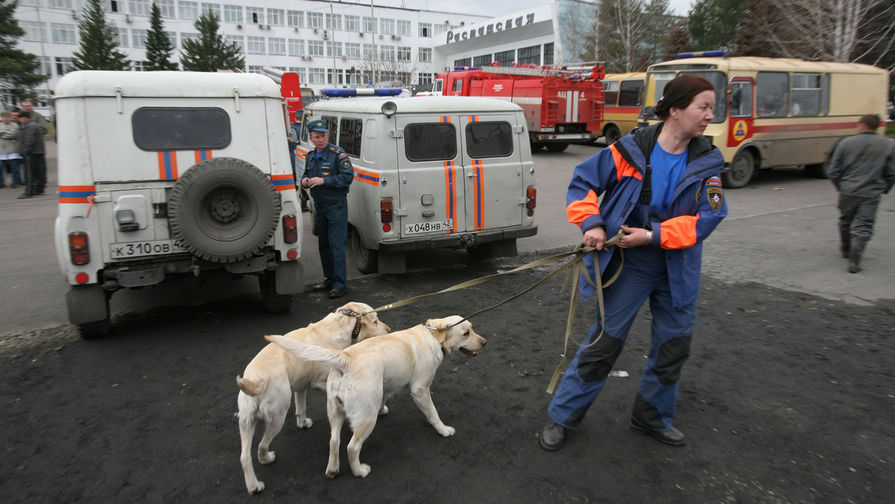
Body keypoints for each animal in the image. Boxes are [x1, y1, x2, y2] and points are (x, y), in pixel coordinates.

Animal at [236, 302, 390, 494]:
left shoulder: (300, 386)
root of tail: (257, 379)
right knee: (262, 445)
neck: (340, 326)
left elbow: (301, 408)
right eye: (375, 321)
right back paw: (266, 460)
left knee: (244, 457)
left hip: (246, 422)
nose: (389, 329)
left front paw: (303, 423)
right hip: (277, 417)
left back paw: (254, 485)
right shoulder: (320, 381)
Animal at [266, 316, 486, 480]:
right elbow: (433, 414)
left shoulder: (384, 386)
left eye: (472, 329)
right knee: (352, 447)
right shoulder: (420, 390)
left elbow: (384, 398)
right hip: (366, 418)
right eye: (466, 333)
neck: (432, 336)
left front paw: (384, 409)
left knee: (334, 441)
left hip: (335, 412)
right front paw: (444, 430)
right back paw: (359, 471)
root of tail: (345, 359)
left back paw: (333, 470)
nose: (484, 343)